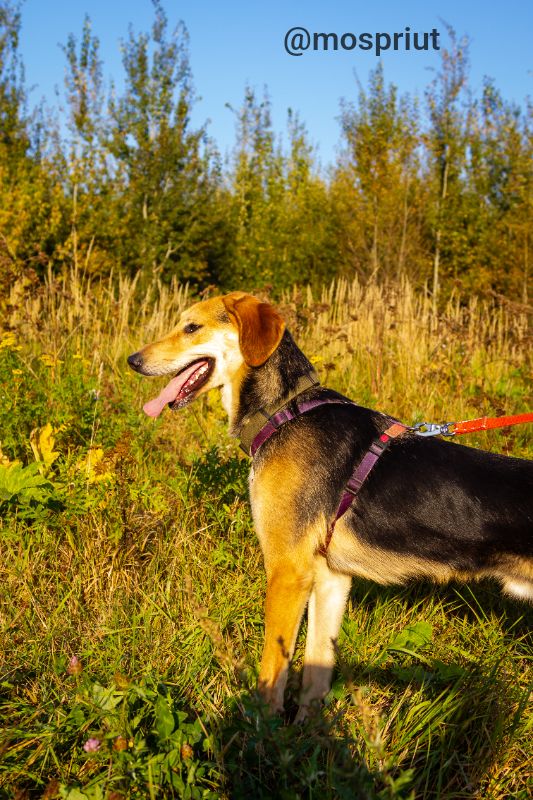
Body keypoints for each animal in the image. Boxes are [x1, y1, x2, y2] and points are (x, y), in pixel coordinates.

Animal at [129, 292, 532, 720]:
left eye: (191, 327)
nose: (133, 360)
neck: (284, 411)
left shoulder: (288, 572)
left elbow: (272, 674)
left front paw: (261, 731)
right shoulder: (331, 579)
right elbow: (315, 673)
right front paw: (308, 733)